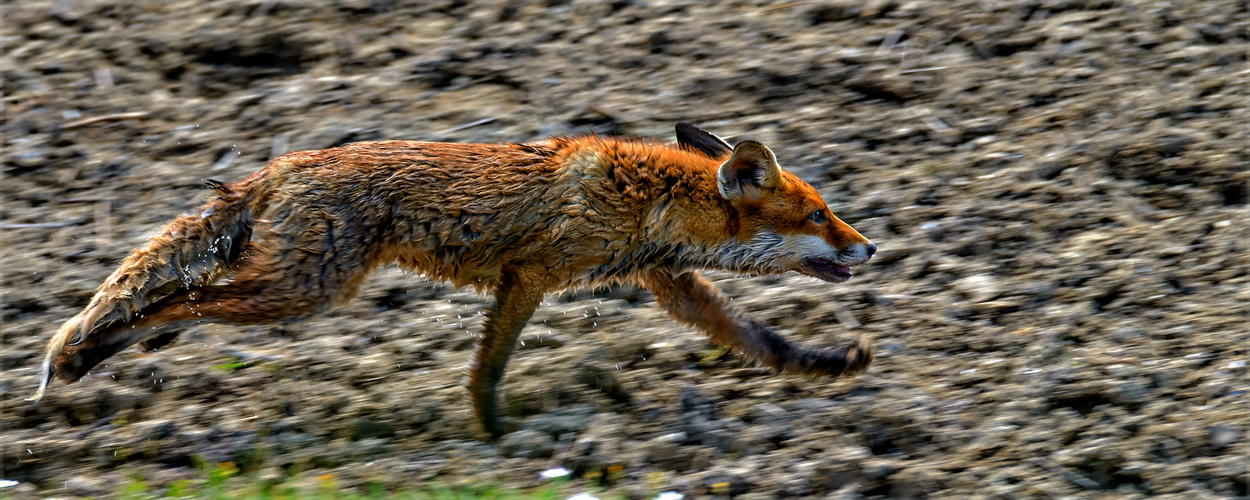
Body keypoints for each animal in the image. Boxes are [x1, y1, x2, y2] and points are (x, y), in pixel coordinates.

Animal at [26, 123, 870, 437]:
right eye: (820, 214)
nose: (871, 247)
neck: (648, 200)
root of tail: (284, 164)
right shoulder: (530, 274)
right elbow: (488, 366)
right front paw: (492, 432)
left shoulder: (669, 284)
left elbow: (758, 339)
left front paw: (826, 363)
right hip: (305, 289)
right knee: (184, 298)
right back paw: (87, 357)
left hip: (294, 281)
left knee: (178, 297)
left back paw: (114, 352)